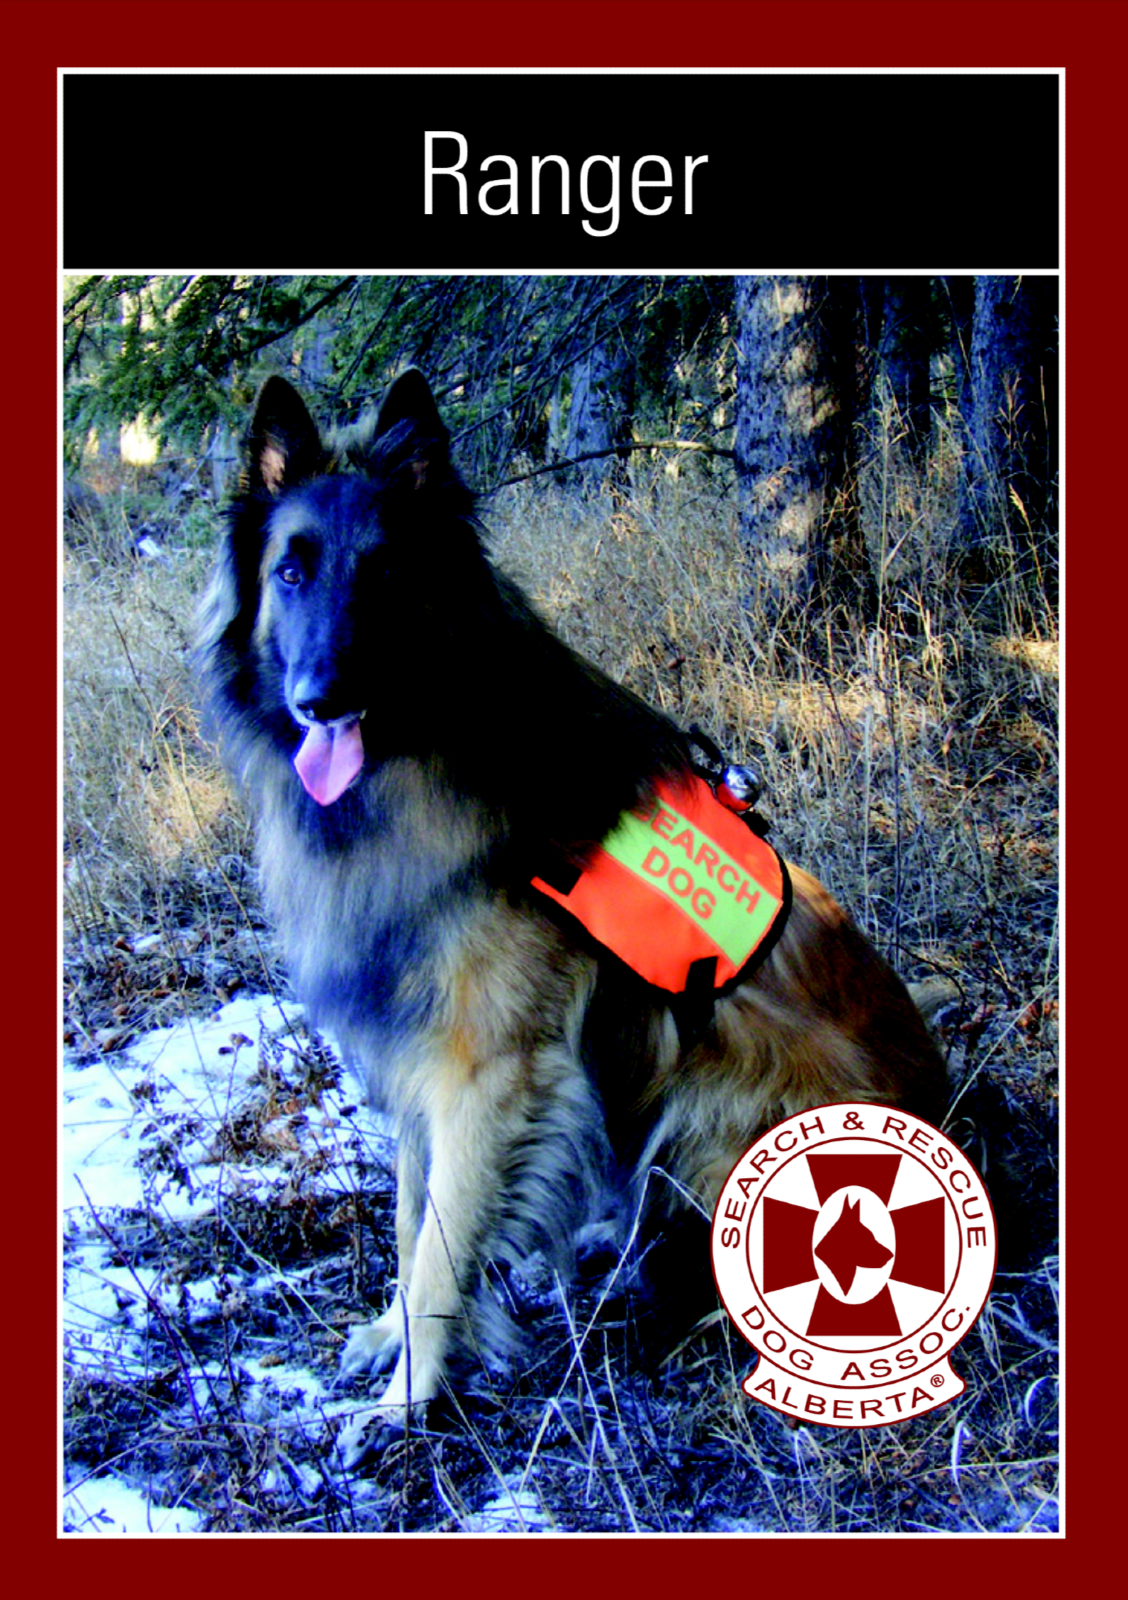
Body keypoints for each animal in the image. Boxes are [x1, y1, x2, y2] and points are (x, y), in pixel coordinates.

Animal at [198, 370, 948, 1463]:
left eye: (384, 572)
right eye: (291, 572)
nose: (319, 696)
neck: (424, 758)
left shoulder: (491, 1070)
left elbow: (441, 1247)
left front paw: (409, 1402)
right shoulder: (423, 1053)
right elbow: (411, 1210)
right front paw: (389, 1336)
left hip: (725, 1109)